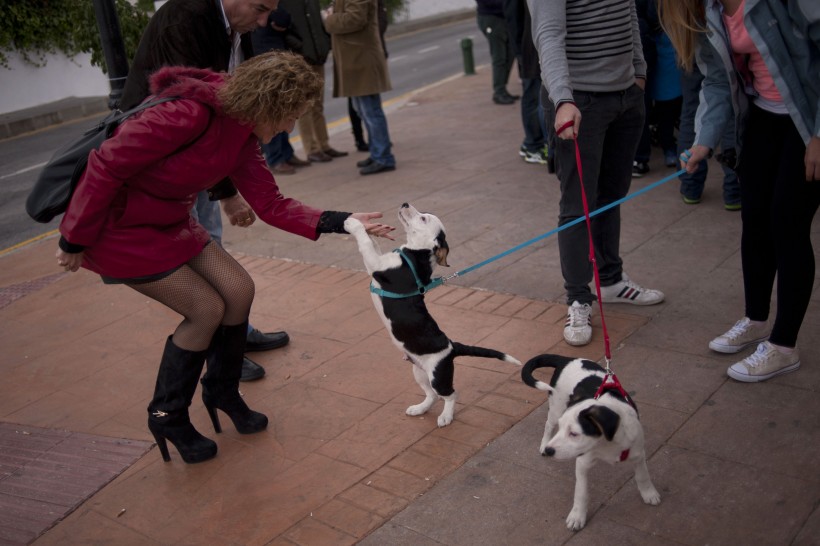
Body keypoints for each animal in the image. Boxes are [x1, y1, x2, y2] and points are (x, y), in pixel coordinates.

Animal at [344, 203, 520, 424]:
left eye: (423, 218)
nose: (404, 203)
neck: (417, 254)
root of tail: (453, 347)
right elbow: (373, 242)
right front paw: (371, 228)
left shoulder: (376, 264)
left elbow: (365, 242)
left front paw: (352, 223)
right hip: (419, 371)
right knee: (432, 395)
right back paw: (419, 409)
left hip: (439, 376)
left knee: (451, 394)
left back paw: (446, 417)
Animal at [524, 350, 664, 528]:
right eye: (563, 429)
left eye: (574, 434)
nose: (550, 450)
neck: (606, 444)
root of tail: (567, 359)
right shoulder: (583, 463)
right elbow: (581, 492)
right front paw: (577, 516)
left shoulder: (638, 453)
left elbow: (642, 475)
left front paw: (649, 494)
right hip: (556, 407)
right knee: (548, 424)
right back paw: (543, 443)